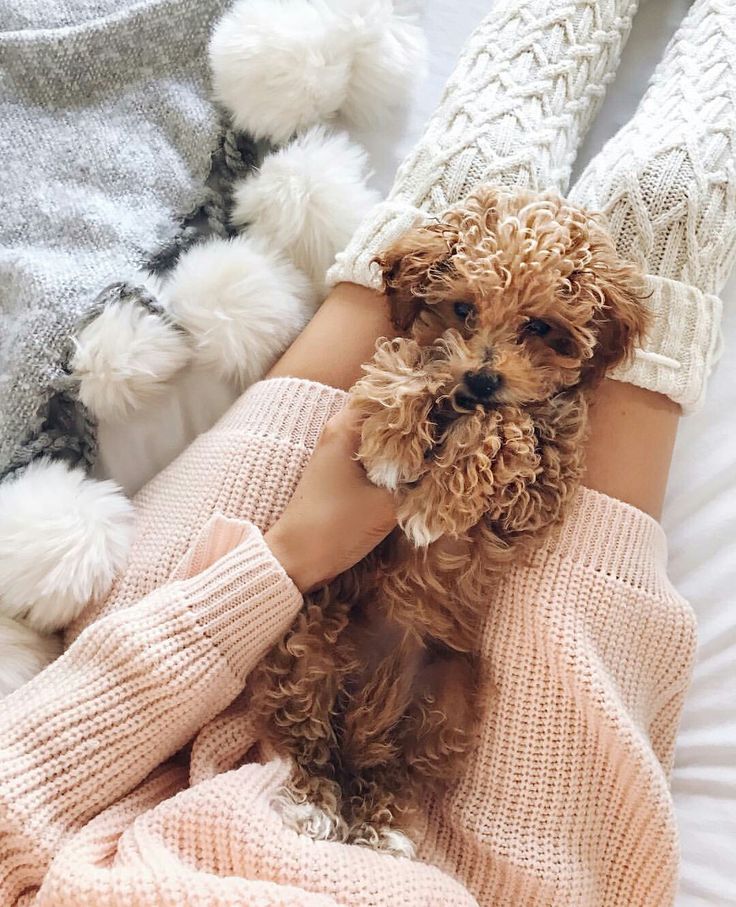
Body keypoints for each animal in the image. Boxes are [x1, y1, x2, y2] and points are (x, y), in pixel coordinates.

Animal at [249, 186, 648, 860]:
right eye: (462, 308)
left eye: (539, 327)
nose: (482, 377)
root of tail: (367, 720)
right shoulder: (393, 382)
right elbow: (410, 366)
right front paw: (396, 444)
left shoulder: (538, 492)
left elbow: (507, 428)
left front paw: (436, 503)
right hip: (313, 637)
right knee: (306, 734)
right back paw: (314, 803)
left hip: (448, 697)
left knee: (400, 772)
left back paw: (381, 825)